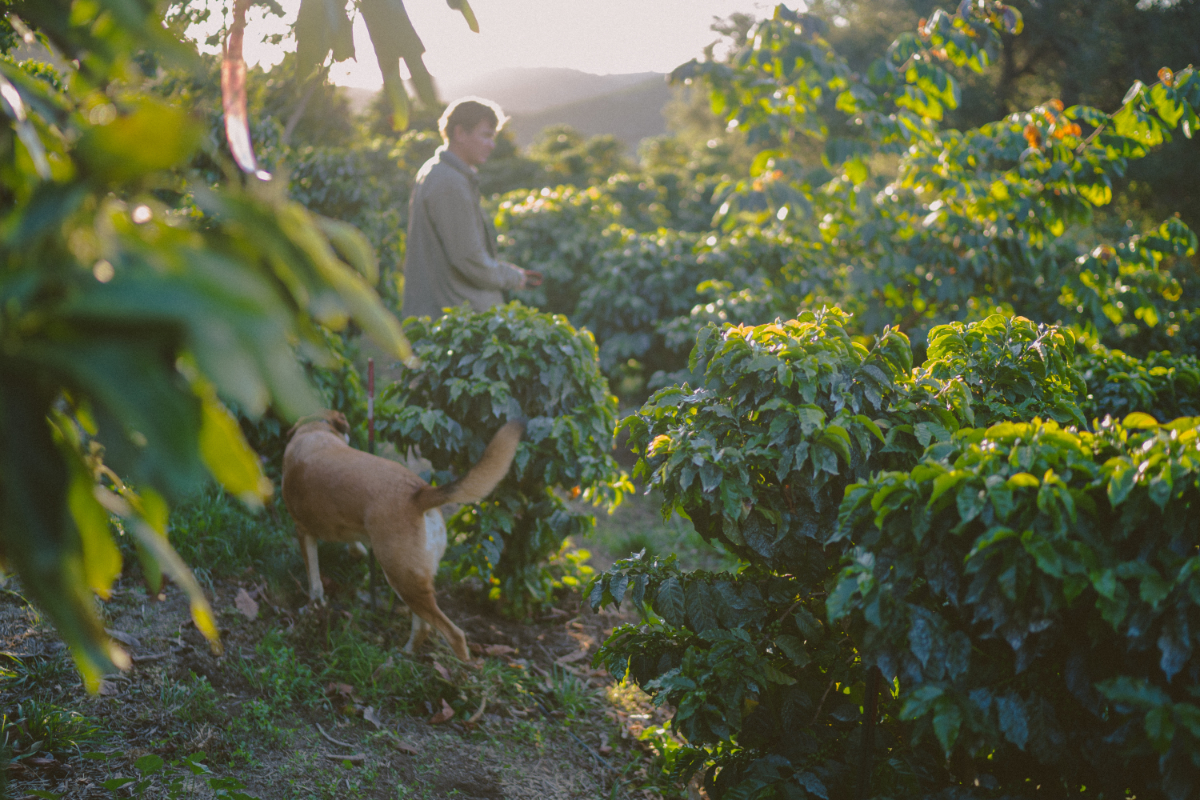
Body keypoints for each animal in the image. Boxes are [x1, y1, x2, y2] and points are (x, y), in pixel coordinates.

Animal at [285, 410, 525, 662]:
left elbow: (315, 580)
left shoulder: (303, 532)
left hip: (401, 578)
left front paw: (313, 607)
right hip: (412, 580)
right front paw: (357, 552)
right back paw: (405, 655)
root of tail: (419, 493)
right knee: (424, 626)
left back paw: (462, 667)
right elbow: (352, 542)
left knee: (454, 634)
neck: (315, 430)